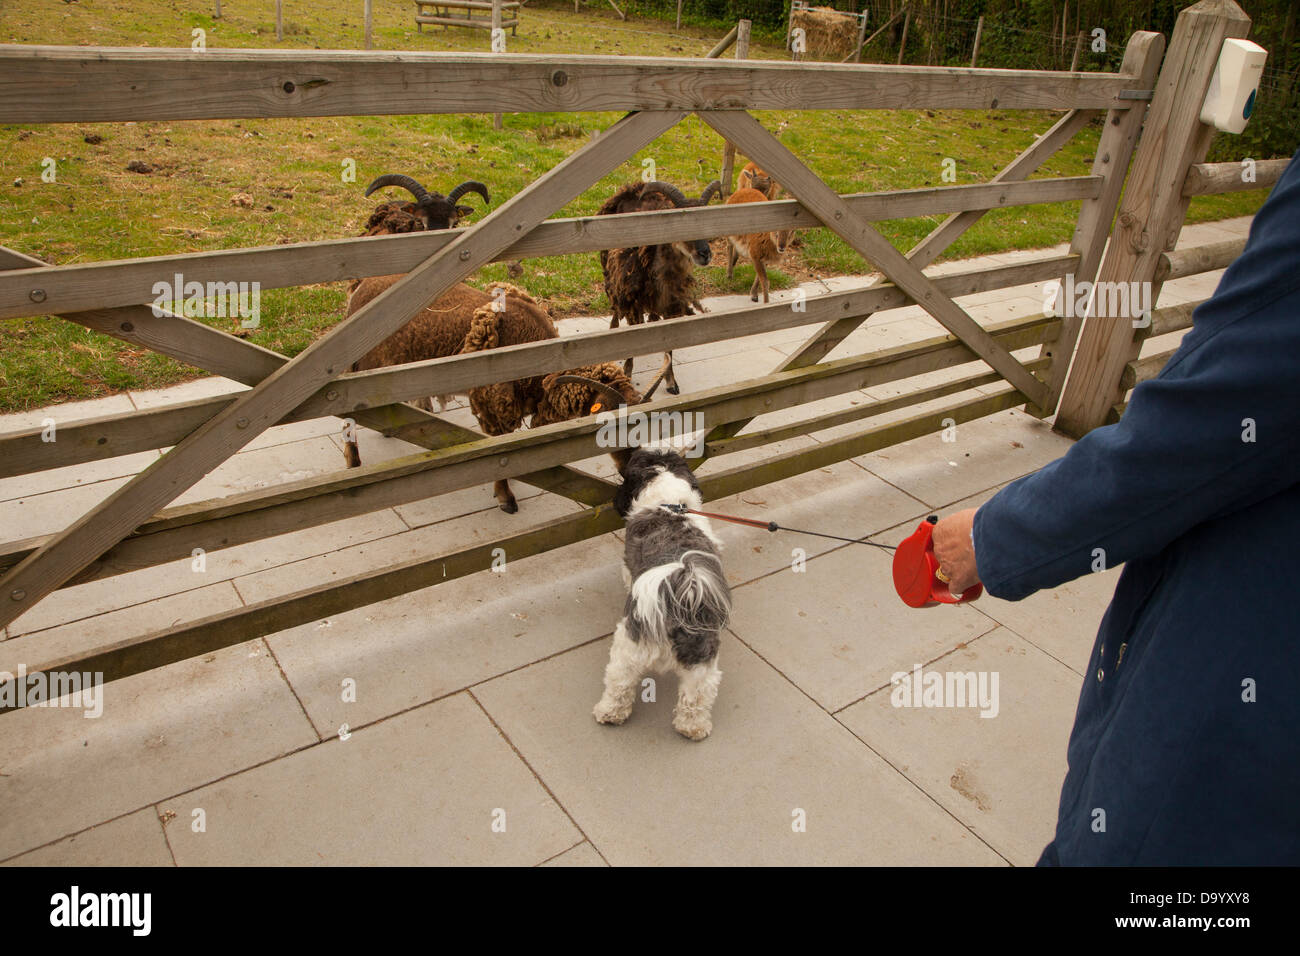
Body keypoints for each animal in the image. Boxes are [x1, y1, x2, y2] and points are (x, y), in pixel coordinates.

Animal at [592, 447, 733, 738]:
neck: (669, 503)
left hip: (629, 648)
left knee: (619, 684)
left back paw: (609, 712)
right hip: (702, 660)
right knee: (697, 694)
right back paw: (693, 727)